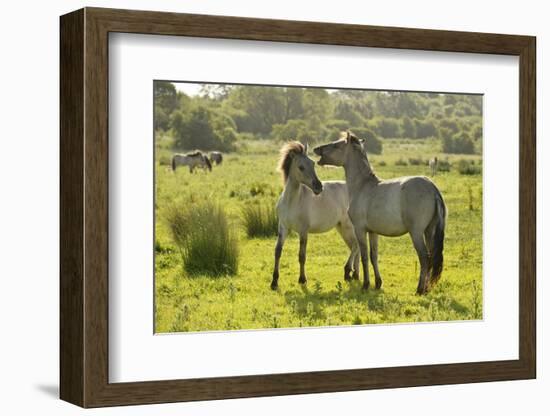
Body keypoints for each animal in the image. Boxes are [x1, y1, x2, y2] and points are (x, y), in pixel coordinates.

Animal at [272, 141, 362, 290]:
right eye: (301, 167)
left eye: (313, 164)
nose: (319, 187)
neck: (292, 201)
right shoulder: (283, 228)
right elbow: (278, 252)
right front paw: (274, 281)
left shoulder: (303, 231)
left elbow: (302, 256)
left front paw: (302, 280)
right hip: (342, 228)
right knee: (356, 247)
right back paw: (354, 275)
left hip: (348, 227)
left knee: (356, 246)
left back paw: (348, 272)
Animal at [314, 132, 448, 294]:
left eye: (336, 145)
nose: (316, 149)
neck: (363, 186)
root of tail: (432, 187)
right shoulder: (373, 232)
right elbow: (374, 256)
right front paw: (378, 283)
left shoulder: (360, 230)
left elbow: (364, 256)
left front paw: (365, 284)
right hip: (429, 231)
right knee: (431, 257)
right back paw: (427, 289)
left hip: (416, 233)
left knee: (424, 258)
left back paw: (420, 290)